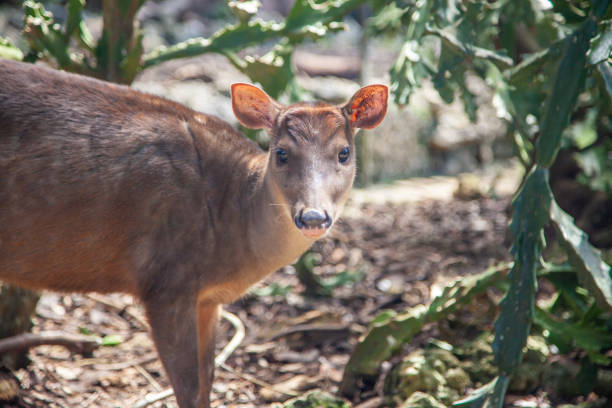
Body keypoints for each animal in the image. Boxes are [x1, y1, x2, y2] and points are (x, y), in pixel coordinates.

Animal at [0, 58, 388, 408]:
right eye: (281, 153)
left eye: (344, 153)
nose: (313, 216)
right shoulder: (166, 282)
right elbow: (187, 388)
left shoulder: (208, 299)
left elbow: (207, 382)